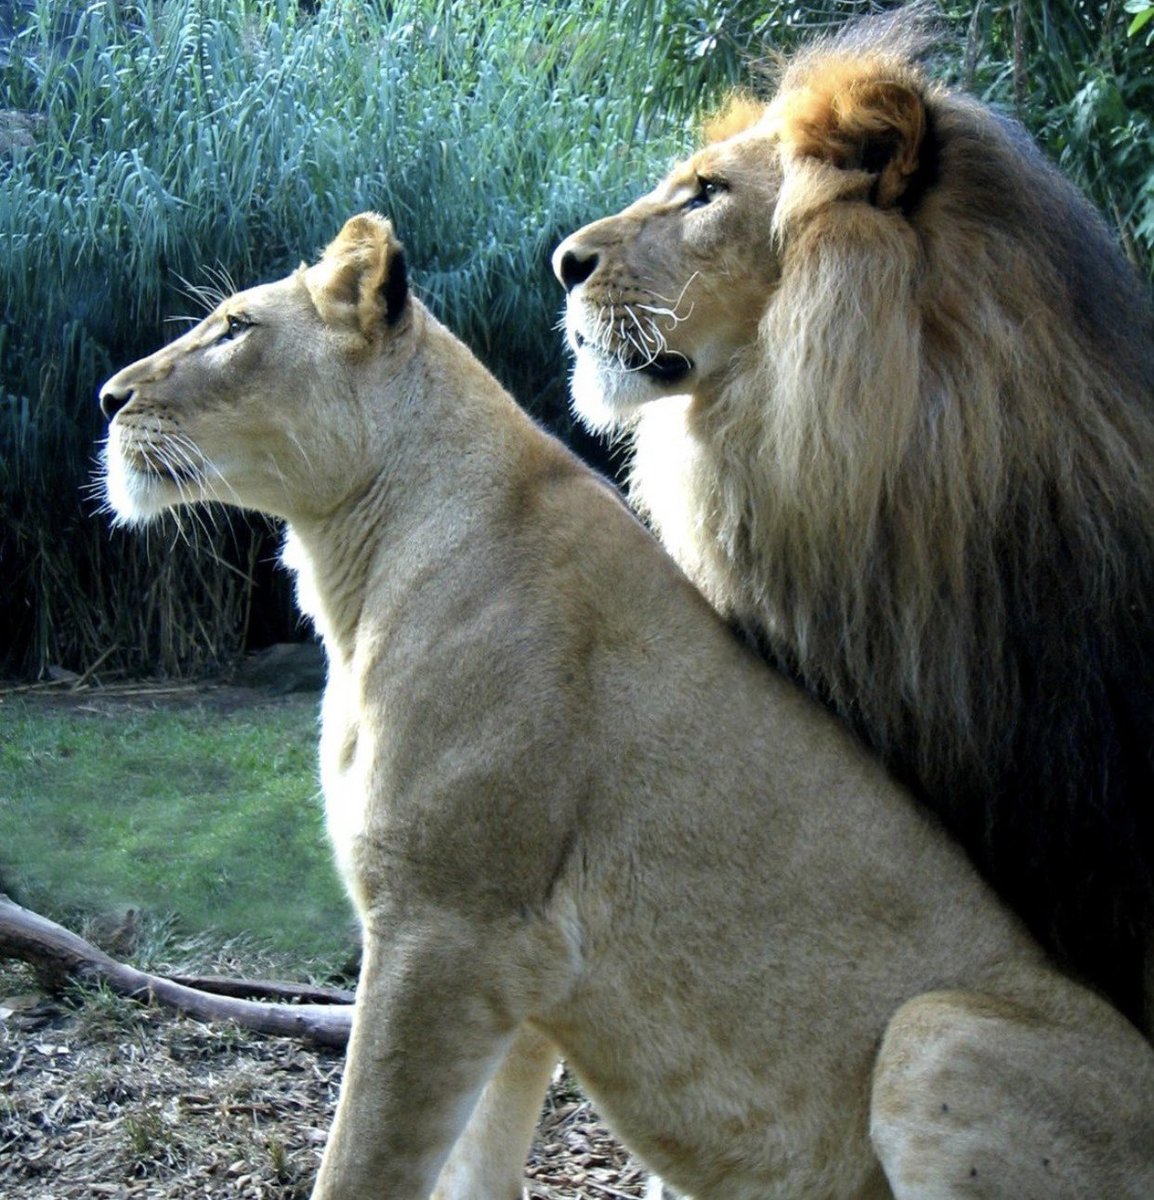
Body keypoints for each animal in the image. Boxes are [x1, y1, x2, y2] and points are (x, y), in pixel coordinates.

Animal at [98, 212, 1154, 1198]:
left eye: (235, 327)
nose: (108, 399)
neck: (354, 562)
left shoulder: (444, 926)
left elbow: (363, 1164)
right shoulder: (515, 981)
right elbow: (477, 1167)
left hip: (934, 1031)